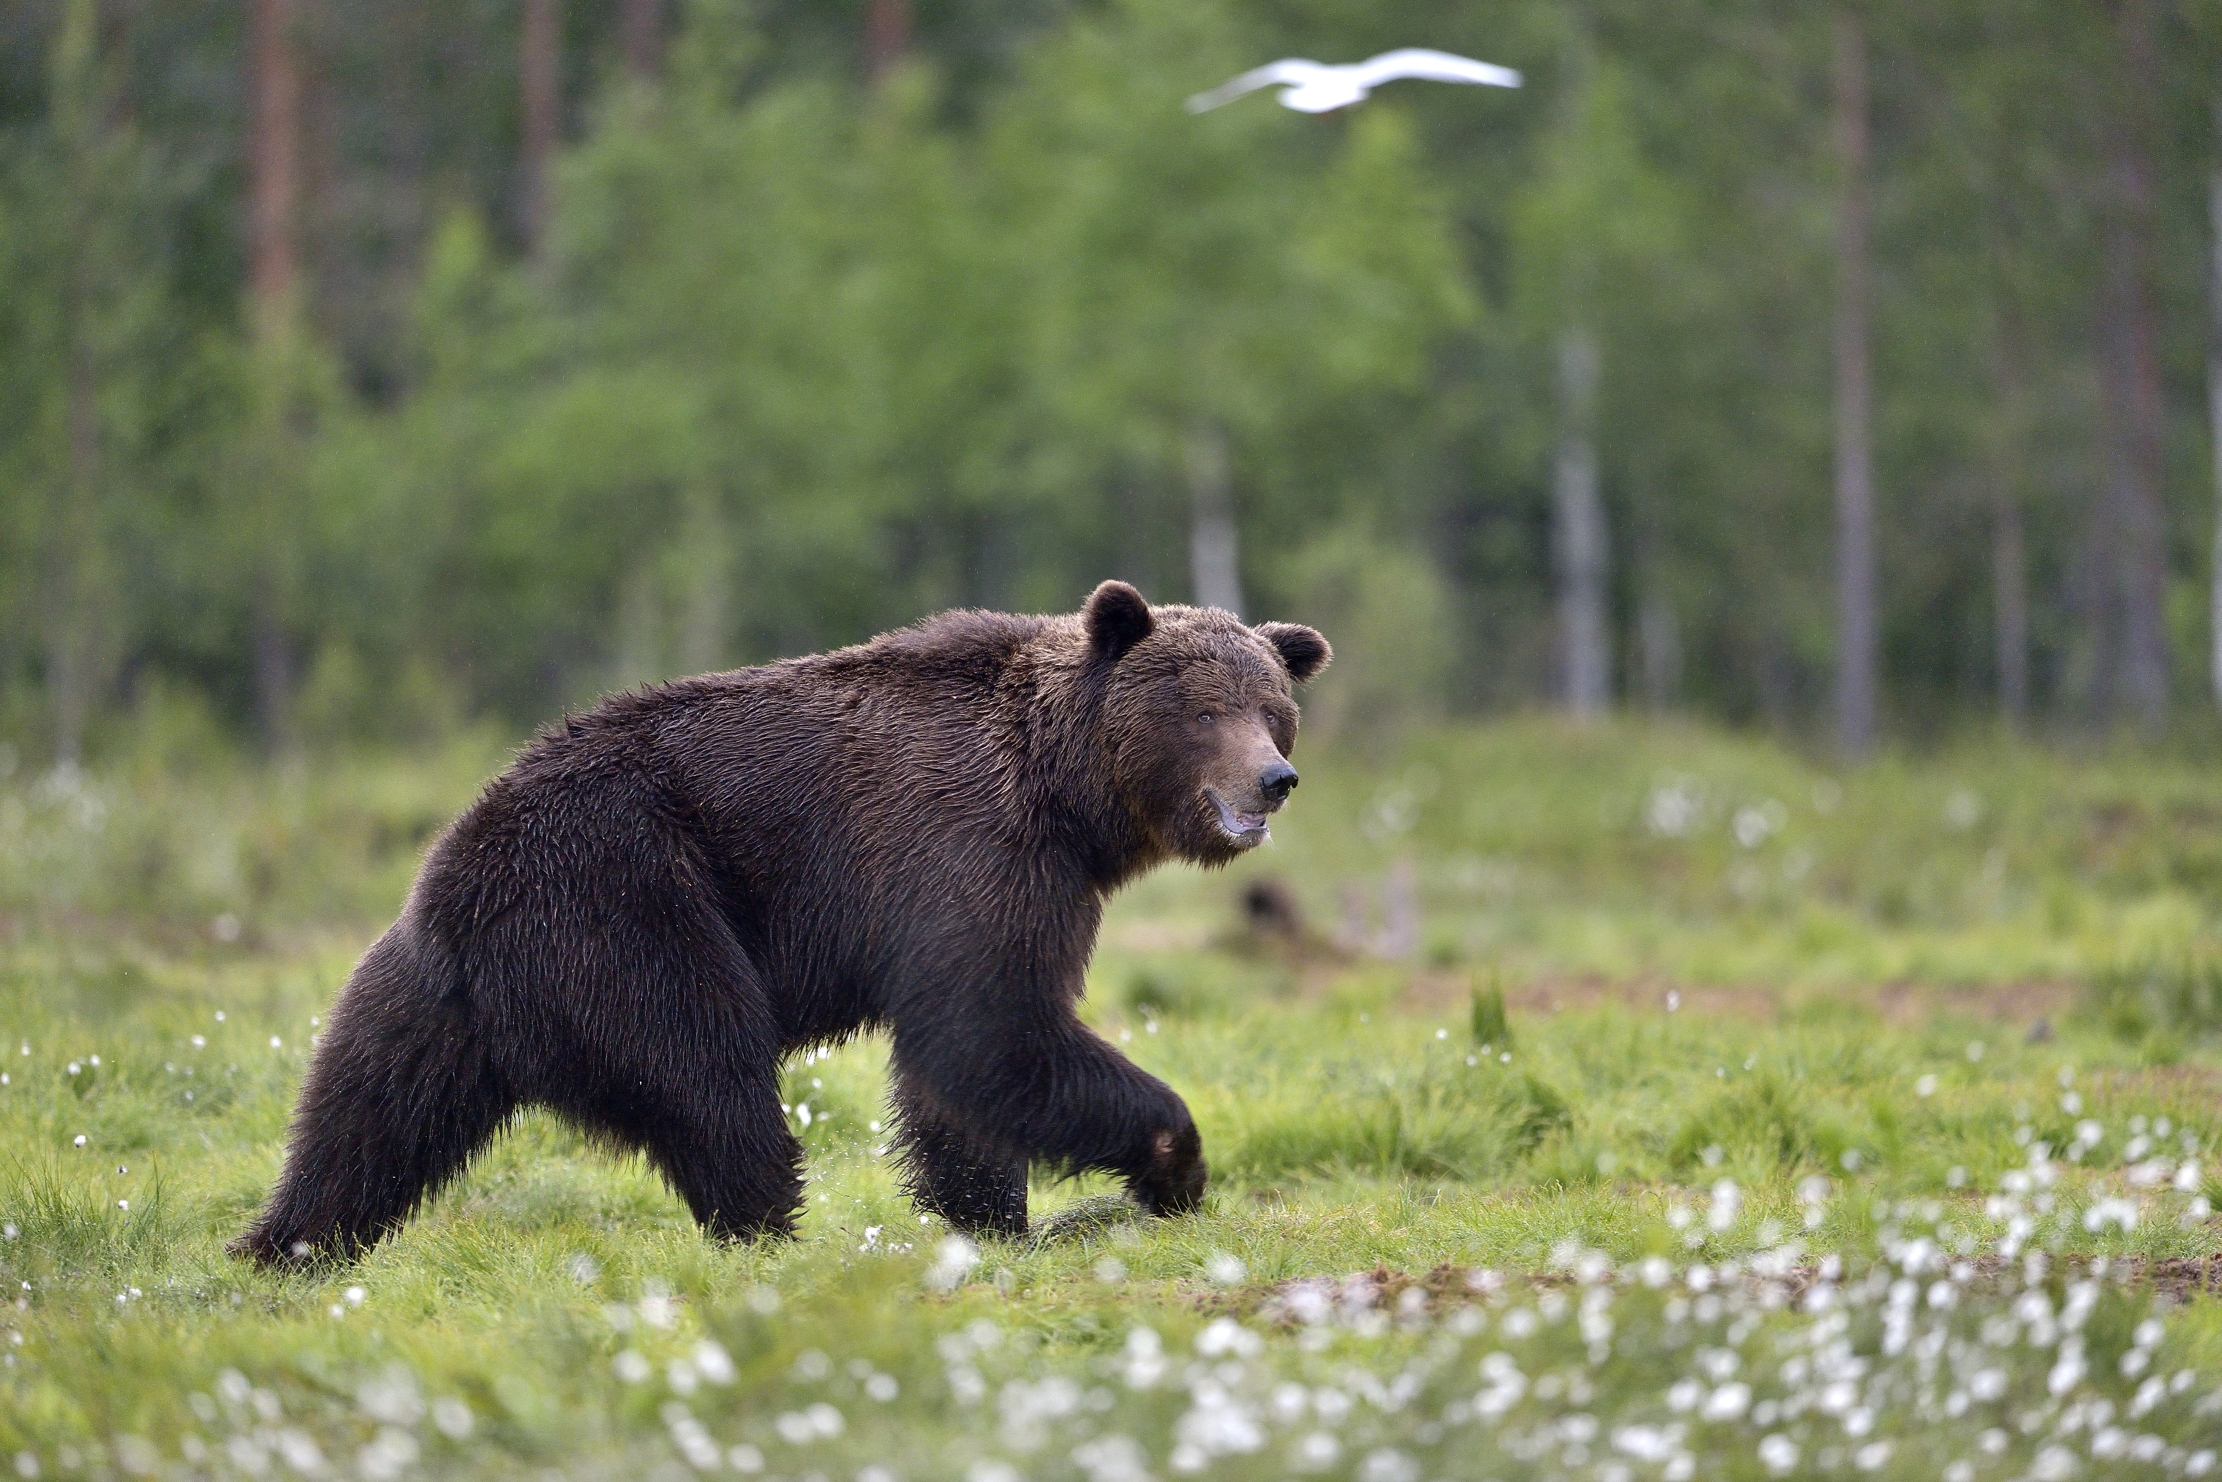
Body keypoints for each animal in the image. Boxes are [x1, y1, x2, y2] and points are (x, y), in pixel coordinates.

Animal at [231, 581, 1329, 1265]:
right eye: (1202, 709)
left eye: (1272, 706)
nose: (1273, 779)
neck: (1068, 800)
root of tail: (459, 885)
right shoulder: (969, 850)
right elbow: (991, 1032)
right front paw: (1170, 1163)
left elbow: (957, 1075)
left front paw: (991, 1218)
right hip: (626, 906)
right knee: (712, 1074)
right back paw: (767, 1234)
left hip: (420, 990)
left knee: (363, 1117)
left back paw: (281, 1246)